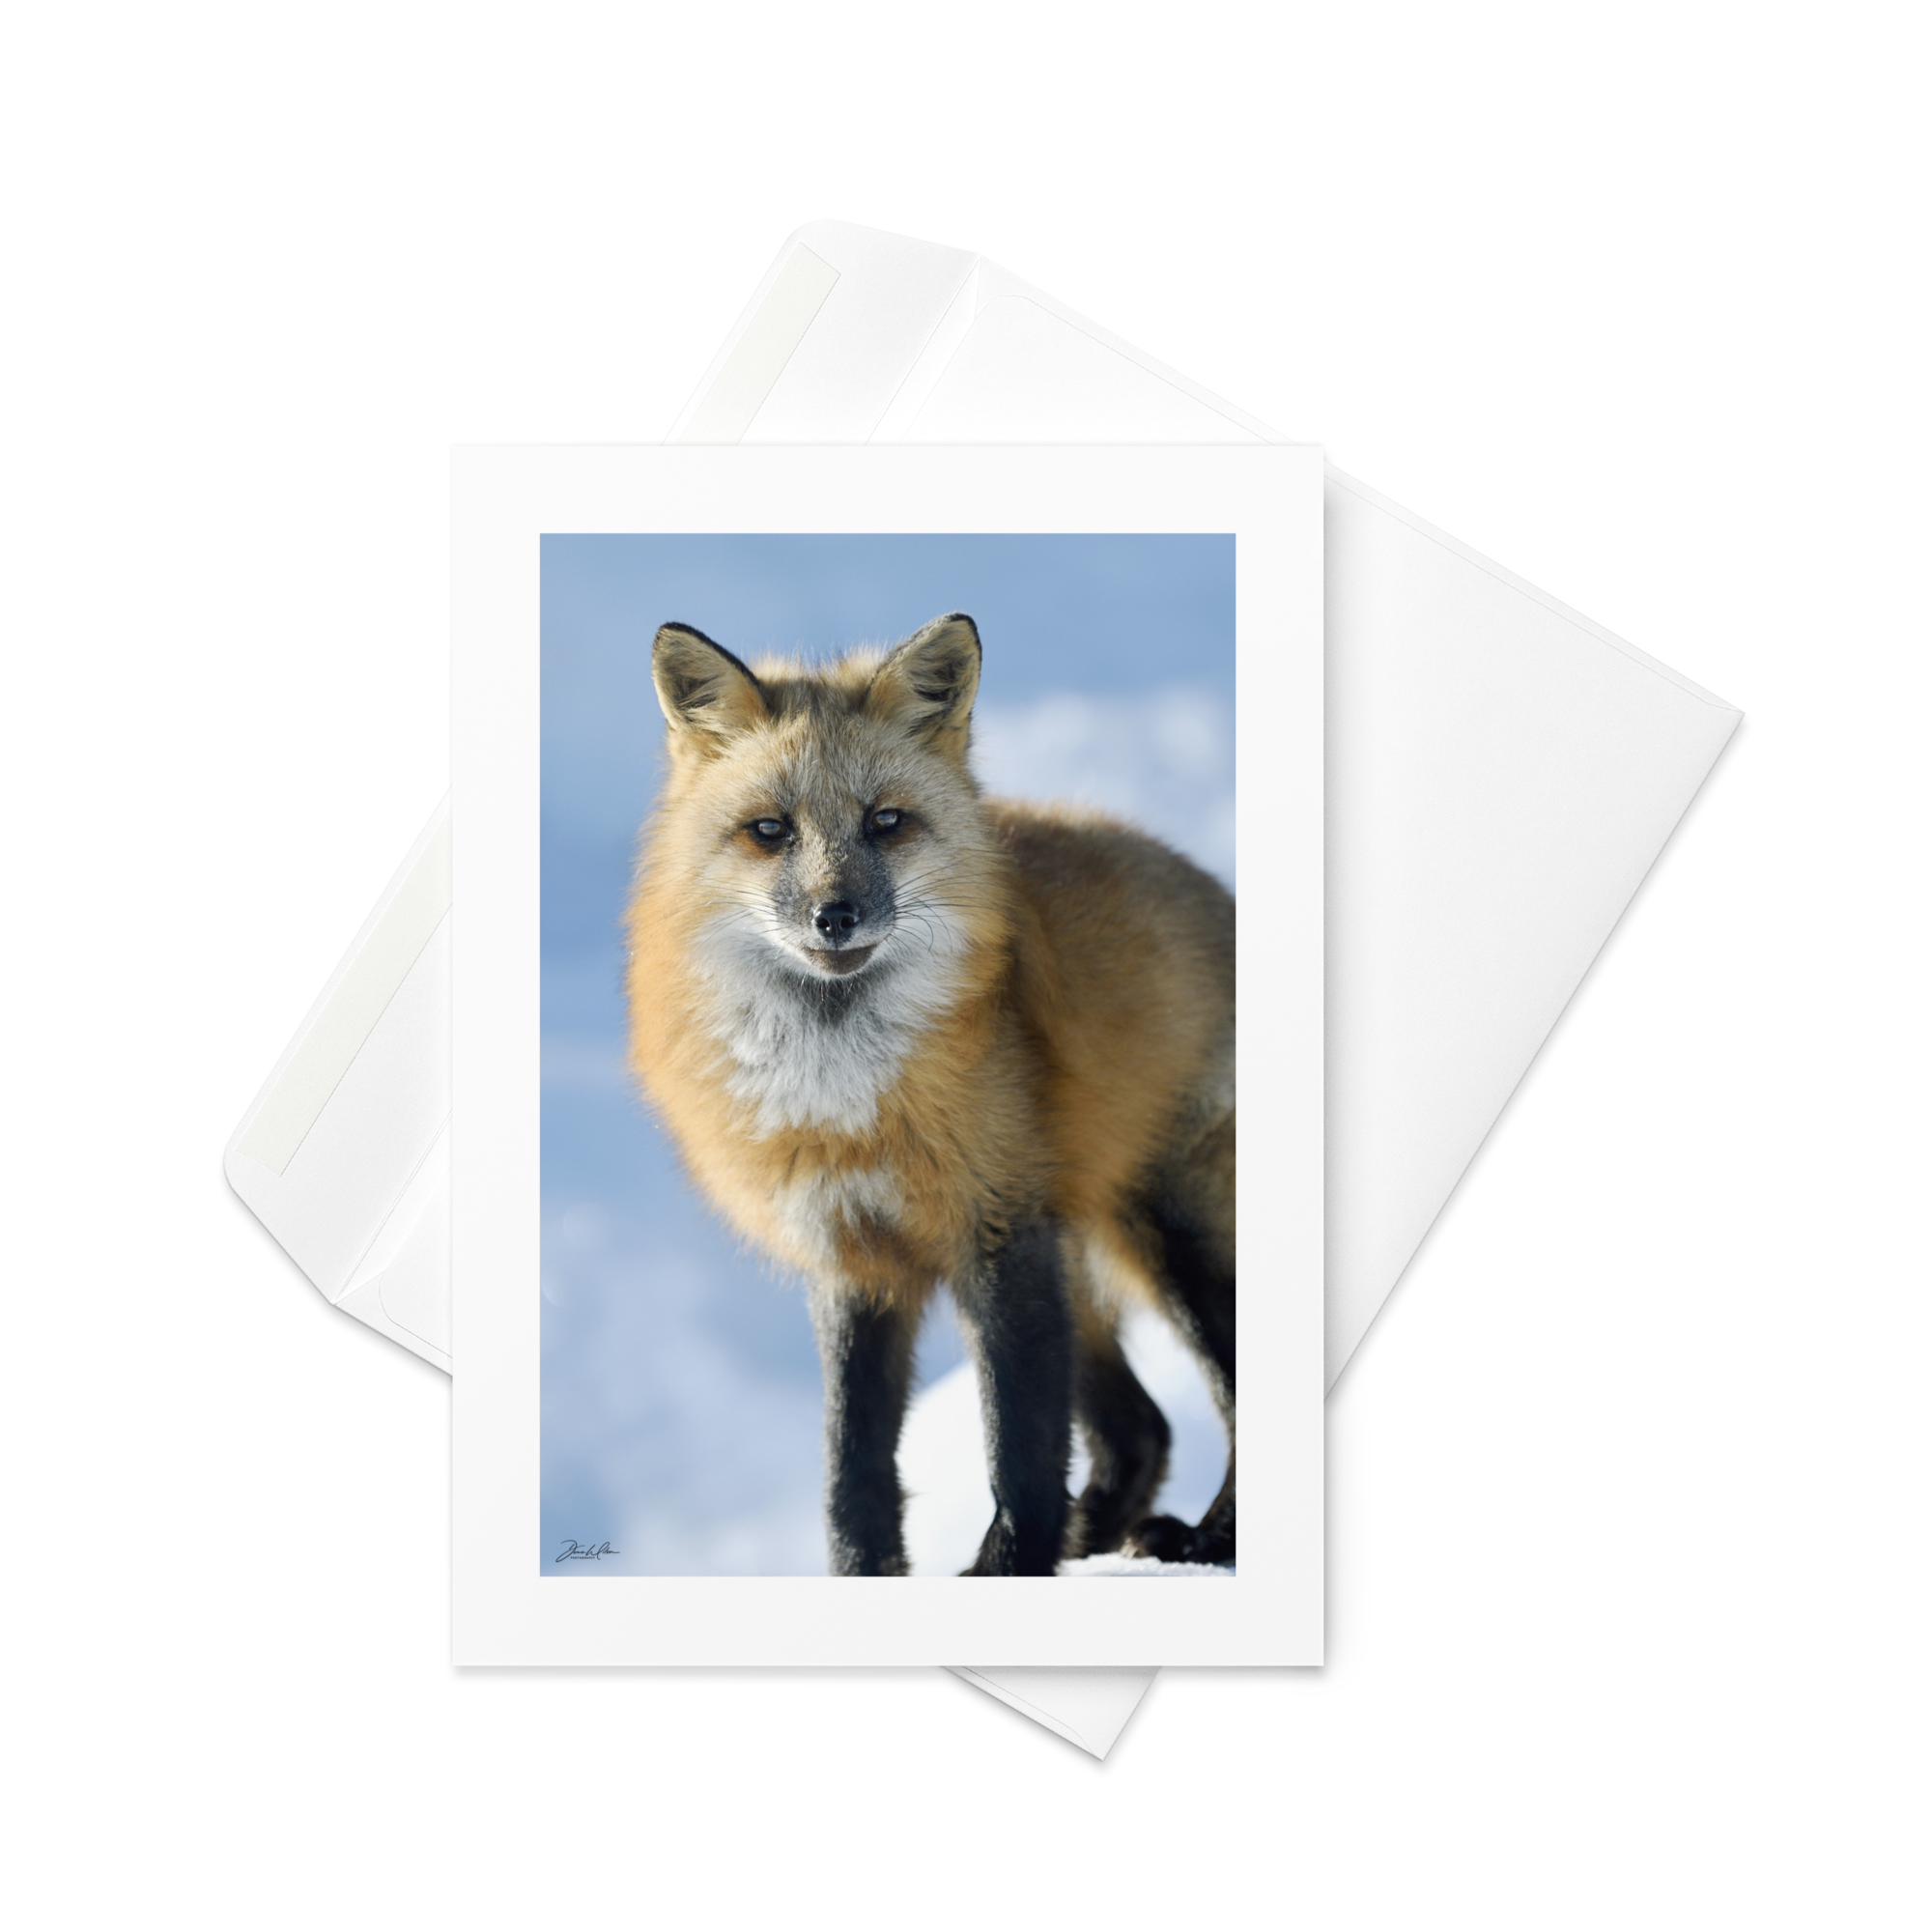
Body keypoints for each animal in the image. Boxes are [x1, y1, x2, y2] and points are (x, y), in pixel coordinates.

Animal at [624, 611, 1235, 1576]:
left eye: (885, 822)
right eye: (769, 829)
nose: (835, 916)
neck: (846, 1106)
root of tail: (1214, 891)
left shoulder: (1000, 1233)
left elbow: (1018, 1450)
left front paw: (1009, 1569)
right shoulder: (853, 1259)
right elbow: (852, 1468)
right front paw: (869, 1572)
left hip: (1166, 1236)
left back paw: (1209, 1538)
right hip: (1085, 1264)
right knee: (1141, 1430)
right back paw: (1103, 1540)